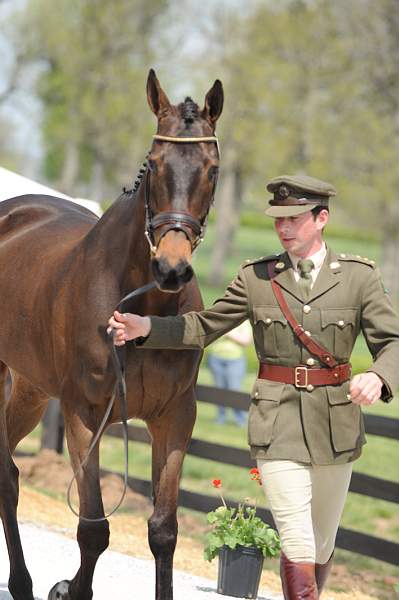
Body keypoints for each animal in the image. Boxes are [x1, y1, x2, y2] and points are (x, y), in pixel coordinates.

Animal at [0, 68, 223, 596]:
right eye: (155, 164)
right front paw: (68, 589)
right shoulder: (84, 415)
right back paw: (22, 582)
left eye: (212, 169)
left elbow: (163, 531)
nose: (171, 268)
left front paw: (63, 586)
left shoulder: (175, 416)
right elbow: (93, 529)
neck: (144, 303)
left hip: (32, 390)